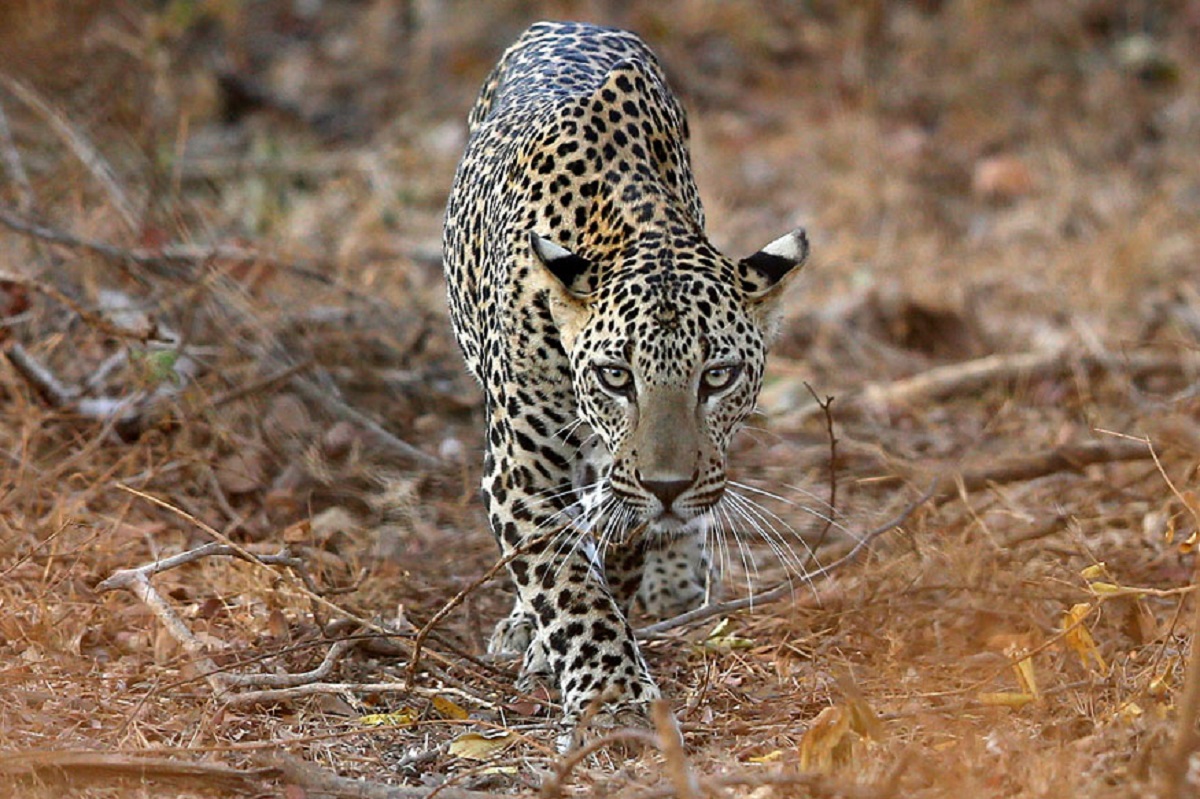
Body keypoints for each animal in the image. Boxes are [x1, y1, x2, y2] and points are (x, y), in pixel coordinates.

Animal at [441, 23, 806, 748]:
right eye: (616, 376)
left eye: (717, 377)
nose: (668, 486)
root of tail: (570, 23)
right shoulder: (521, 468)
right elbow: (568, 585)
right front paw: (610, 694)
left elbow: (617, 540)